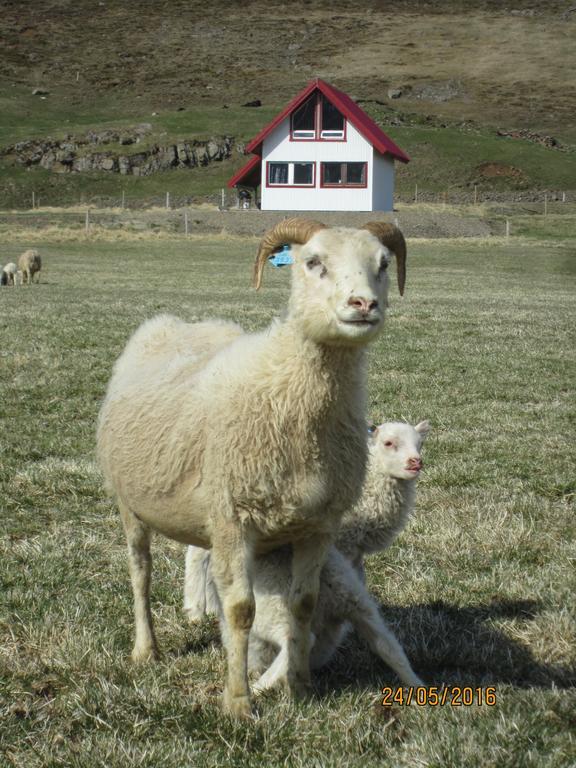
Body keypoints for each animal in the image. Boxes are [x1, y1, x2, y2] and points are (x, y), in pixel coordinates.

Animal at [182, 420, 430, 688]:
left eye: (420, 443)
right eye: (388, 443)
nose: (415, 463)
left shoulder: (350, 553)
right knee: (197, 552)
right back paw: (195, 609)